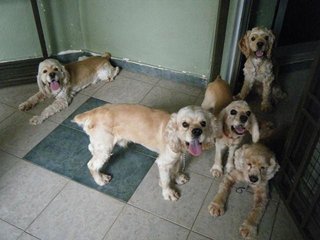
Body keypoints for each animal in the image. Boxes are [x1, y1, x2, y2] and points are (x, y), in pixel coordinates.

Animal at [72, 104, 220, 201]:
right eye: (184, 124)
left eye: (203, 123)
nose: (197, 131)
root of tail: (93, 112)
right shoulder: (163, 162)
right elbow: (166, 180)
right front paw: (169, 193)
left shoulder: (177, 156)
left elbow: (177, 168)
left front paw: (178, 177)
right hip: (105, 146)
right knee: (91, 164)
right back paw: (100, 179)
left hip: (101, 145)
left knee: (91, 148)